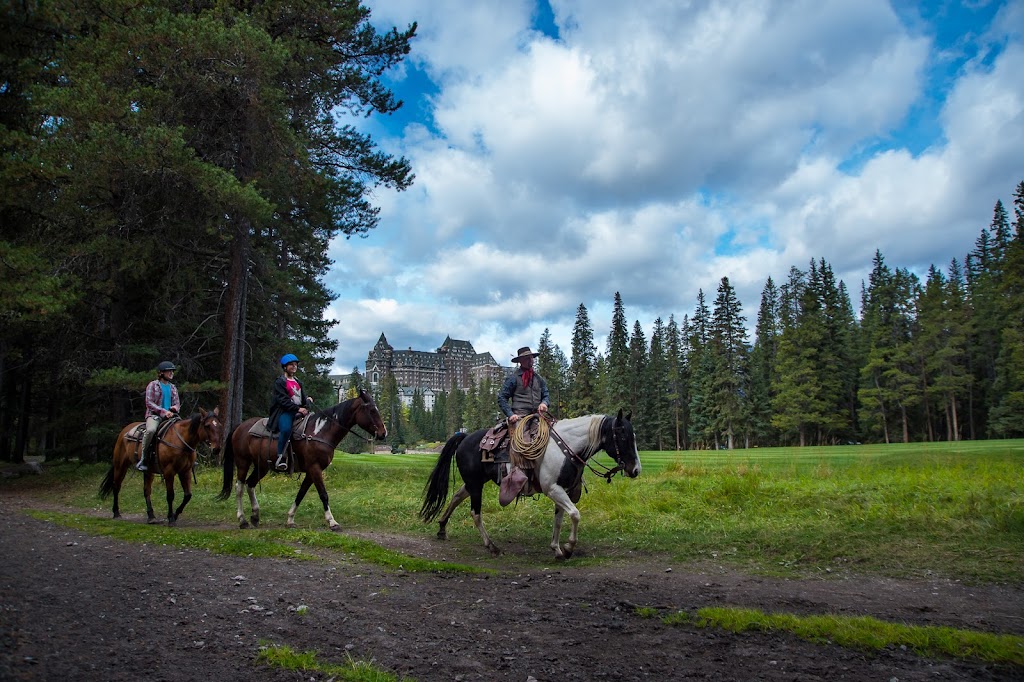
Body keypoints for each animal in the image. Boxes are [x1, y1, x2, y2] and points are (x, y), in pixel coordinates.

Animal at [217, 387, 387, 532]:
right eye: (372, 410)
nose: (383, 433)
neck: (320, 431)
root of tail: (240, 427)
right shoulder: (315, 468)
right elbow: (323, 494)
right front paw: (332, 522)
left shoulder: (311, 471)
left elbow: (301, 493)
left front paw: (290, 519)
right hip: (243, 462)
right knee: (239, 487)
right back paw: (242, 520)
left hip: (262, 466)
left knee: (250, 484)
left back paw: (255, 516)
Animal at [417, 409, 638, 557]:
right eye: (623, 436)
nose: (635, 469)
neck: (566, 447)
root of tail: (464, 437)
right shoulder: (552, 489)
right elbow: (575, 514)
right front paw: (568, 548)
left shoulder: (563, 490)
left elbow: (559, 520)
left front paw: (557, 548)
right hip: (476, 485)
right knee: (475, 513)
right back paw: (491, 546)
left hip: (474, 482)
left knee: (457, 496)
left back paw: (442, 528)